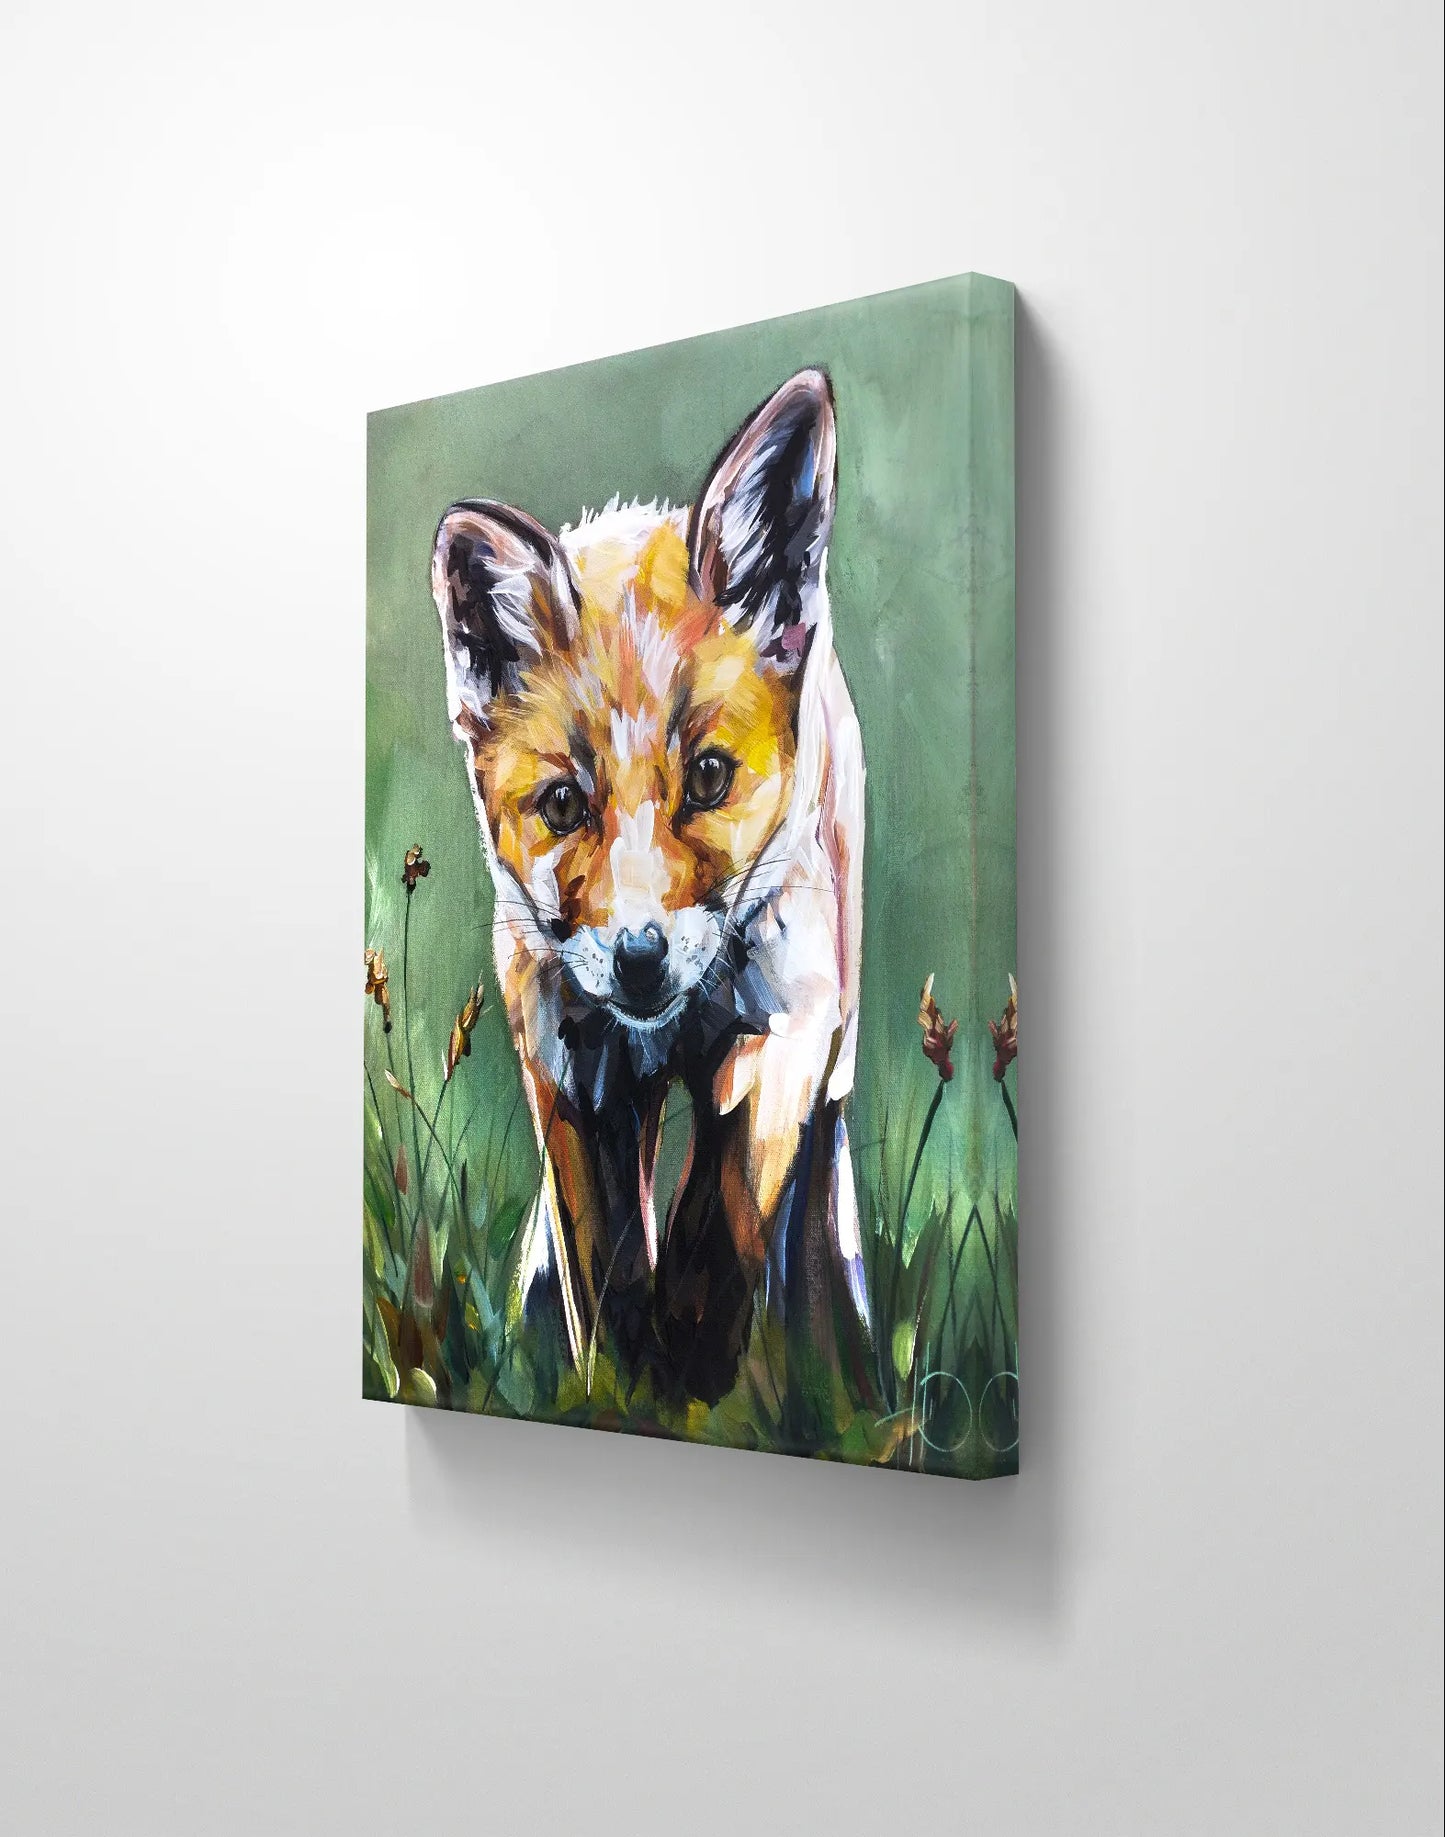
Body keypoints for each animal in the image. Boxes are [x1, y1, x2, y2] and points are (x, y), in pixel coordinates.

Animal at [431, 369, 867, 1405]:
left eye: (707, 778)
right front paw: (624, 1387)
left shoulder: (778, 1028)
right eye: (563, 803)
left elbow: (718, 1224)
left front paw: (695, 1380)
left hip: (833, 1054)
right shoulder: (569, 1067)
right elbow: (605, 1267)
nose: (638, 960)